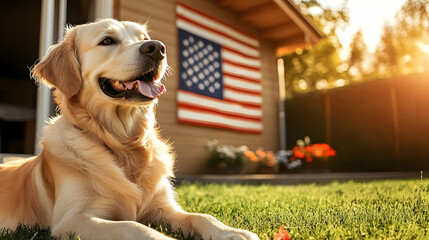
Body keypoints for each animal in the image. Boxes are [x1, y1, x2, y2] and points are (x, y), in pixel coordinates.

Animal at [0, 19, 258, 240]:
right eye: (107, 40)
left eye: (144, 38)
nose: (157, 48)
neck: (124, 144)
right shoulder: (71, 220)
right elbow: (134, 227)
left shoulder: (163, 208)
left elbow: (202, 216)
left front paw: (231, 231)